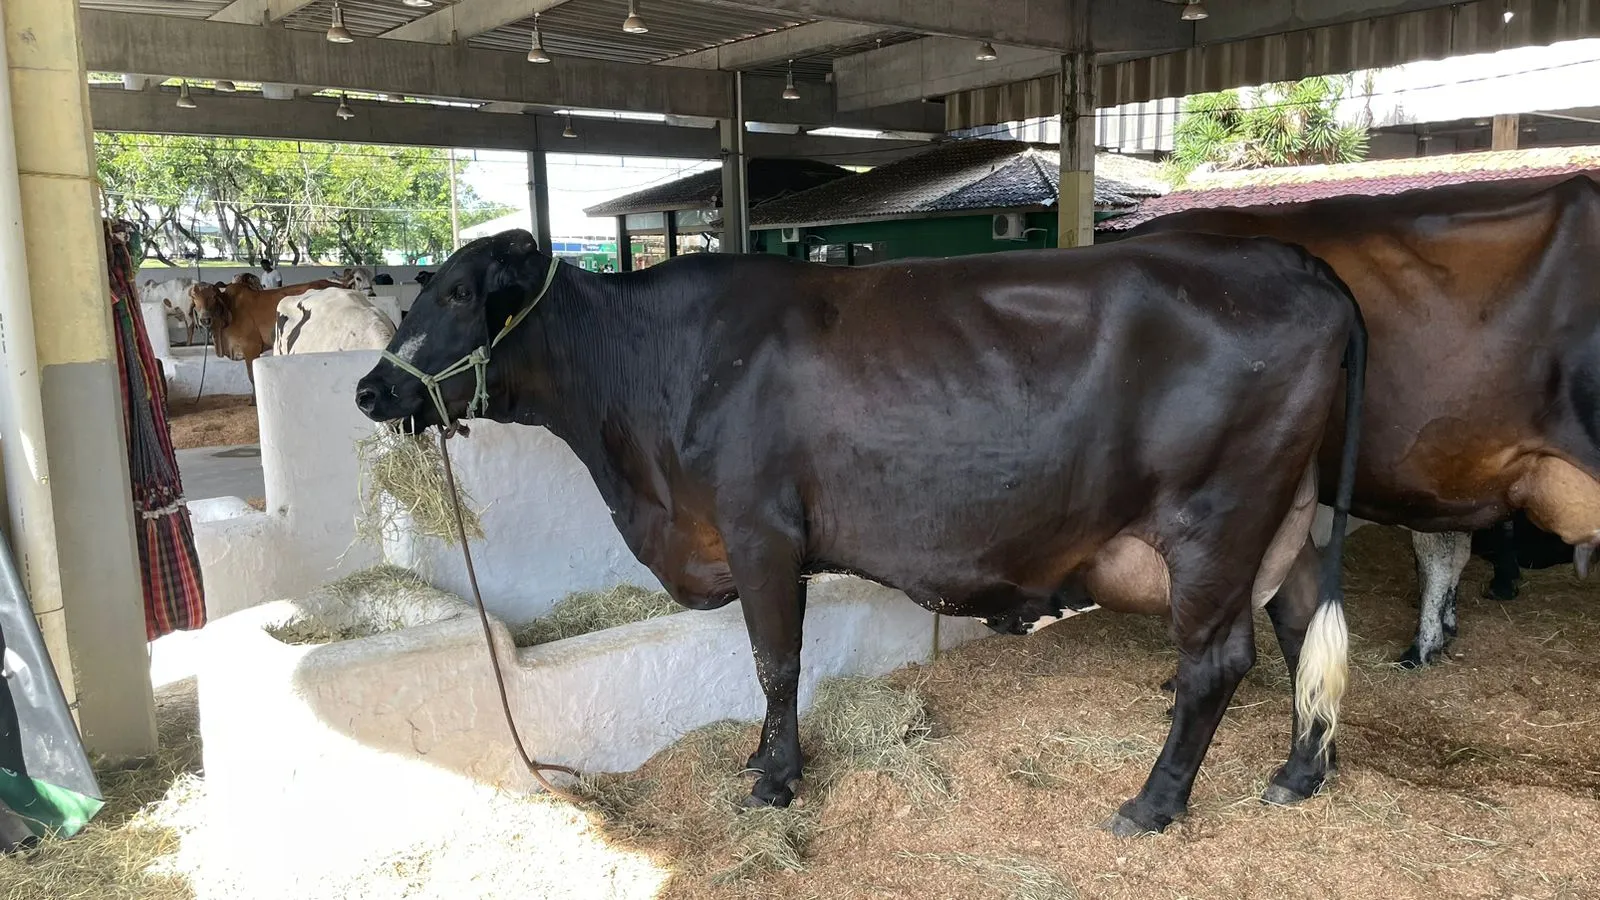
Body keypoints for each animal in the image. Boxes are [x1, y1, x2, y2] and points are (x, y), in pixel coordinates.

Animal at [356, 227, 1369, 832]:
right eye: (414, 290)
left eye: (457, 294)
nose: (369, 389)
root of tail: (1292, 261)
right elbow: (770, 664)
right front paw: (764, 759)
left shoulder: (761, 532)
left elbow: (774, 662)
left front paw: (774, 781)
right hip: (1287, 517)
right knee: (1302, 623)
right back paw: (1299, 772)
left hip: (1216, 521)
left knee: (1216, 663)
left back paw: (1152, 803)